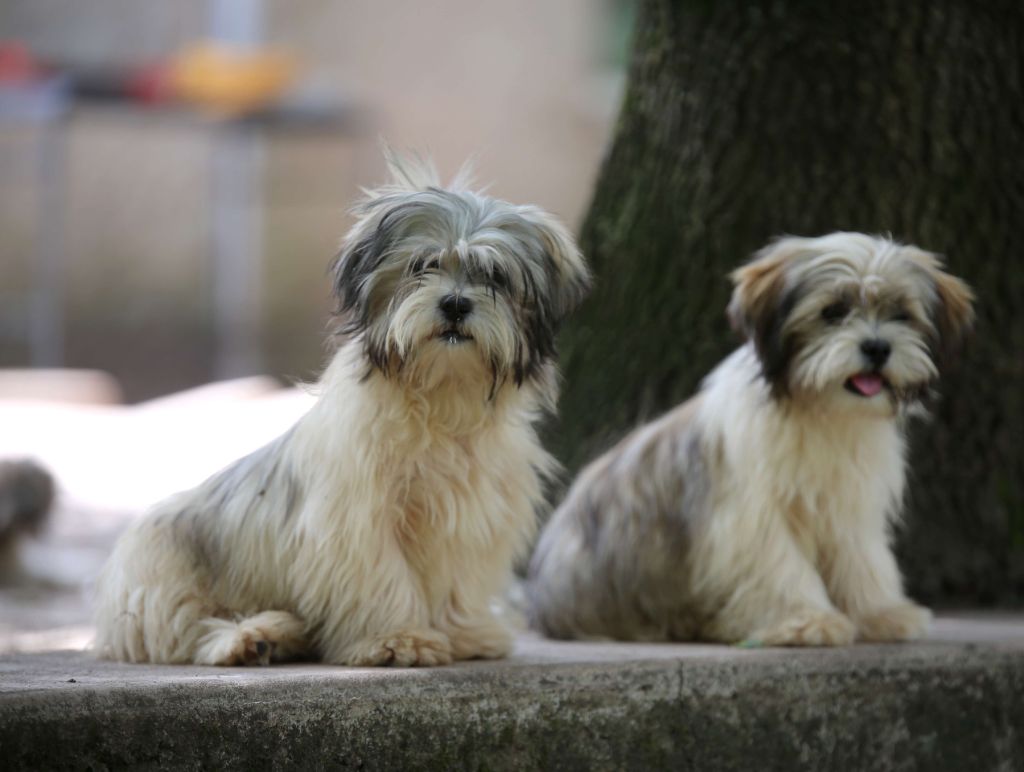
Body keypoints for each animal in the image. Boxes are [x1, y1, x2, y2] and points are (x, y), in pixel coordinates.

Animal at [97, 154, 593, 663]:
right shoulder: (358, 519)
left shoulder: (468, 515)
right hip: (165, 566)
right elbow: (382, 579)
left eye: (495, 276)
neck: (441, 395)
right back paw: (252, 638)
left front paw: (464, 634)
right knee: (187, 630)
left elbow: (456, 579)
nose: (455, 304)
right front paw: (399, 639)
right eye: (423, 265)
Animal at [532, 233, 970, 642]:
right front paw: (807, 620)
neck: (818, 413)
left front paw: (881, 614)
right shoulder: (751, 516)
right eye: (833, 311)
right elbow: (780, 565)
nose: (878, 347)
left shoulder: (848, 508)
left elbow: (862, 560)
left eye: (901, 315)